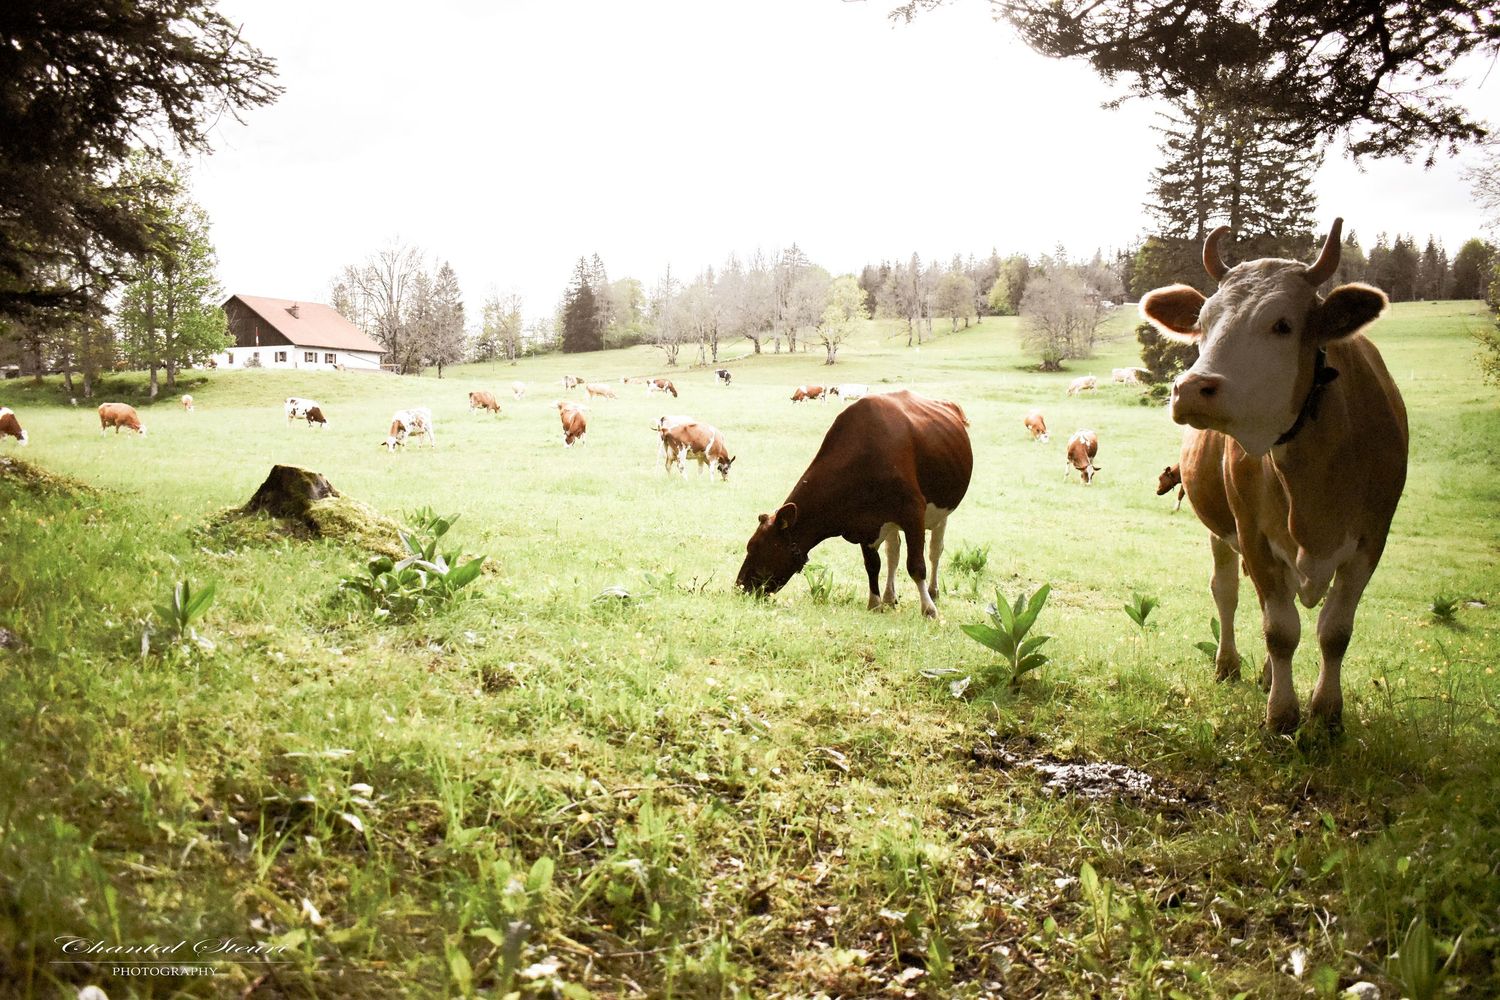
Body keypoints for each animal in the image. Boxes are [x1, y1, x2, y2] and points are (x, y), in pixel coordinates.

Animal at [737, 390, 972, 618]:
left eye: (755, 547)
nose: (739, 587)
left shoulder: (913, 512)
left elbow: (916, 566)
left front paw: (928, 609)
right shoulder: (865, 523)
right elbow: (872, 565)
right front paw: (875, 603)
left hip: (941, 511)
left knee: (934, 551)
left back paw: (933, 592)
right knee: (893, 554)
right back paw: (890, 596)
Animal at [1140, 217, 1407, 733]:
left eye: (1282, 324)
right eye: (1203, 322)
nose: (1190, 388)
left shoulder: (1372, 541)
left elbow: (1335, 631)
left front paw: (1326, 714)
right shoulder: (1255, 537)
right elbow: (1280, 630)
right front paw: (1282, 716)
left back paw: (1266, 676)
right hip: (1223, 532)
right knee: (1227, 592)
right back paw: (1230, 665)